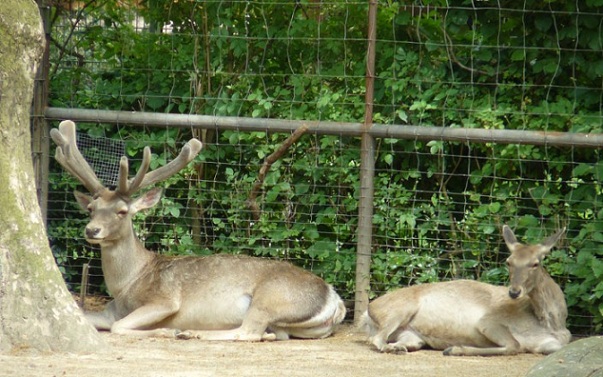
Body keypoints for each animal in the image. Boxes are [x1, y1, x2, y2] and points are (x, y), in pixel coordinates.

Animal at [50, 121, 346, 340]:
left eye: (122, 211)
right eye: (92, 208)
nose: (92, 230)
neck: (126, 285)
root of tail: (336, 301)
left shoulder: (164, 300)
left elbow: (118, 326)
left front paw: (166, 331)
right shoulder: (111, 309)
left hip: (272, 296)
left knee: (248, 332)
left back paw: (190, 332)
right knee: (271, 334)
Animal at [360, 225, 572, 354]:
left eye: (535, 263)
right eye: (508, 261)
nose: (514, 292)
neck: (552, 324)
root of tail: (367, 313)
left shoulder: (554, 345)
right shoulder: (488, 321)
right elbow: (515, 345)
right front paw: (454, 349)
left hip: (411, 335)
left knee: (402, 341)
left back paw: (398, 348)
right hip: (399, 309)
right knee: (376, 339)